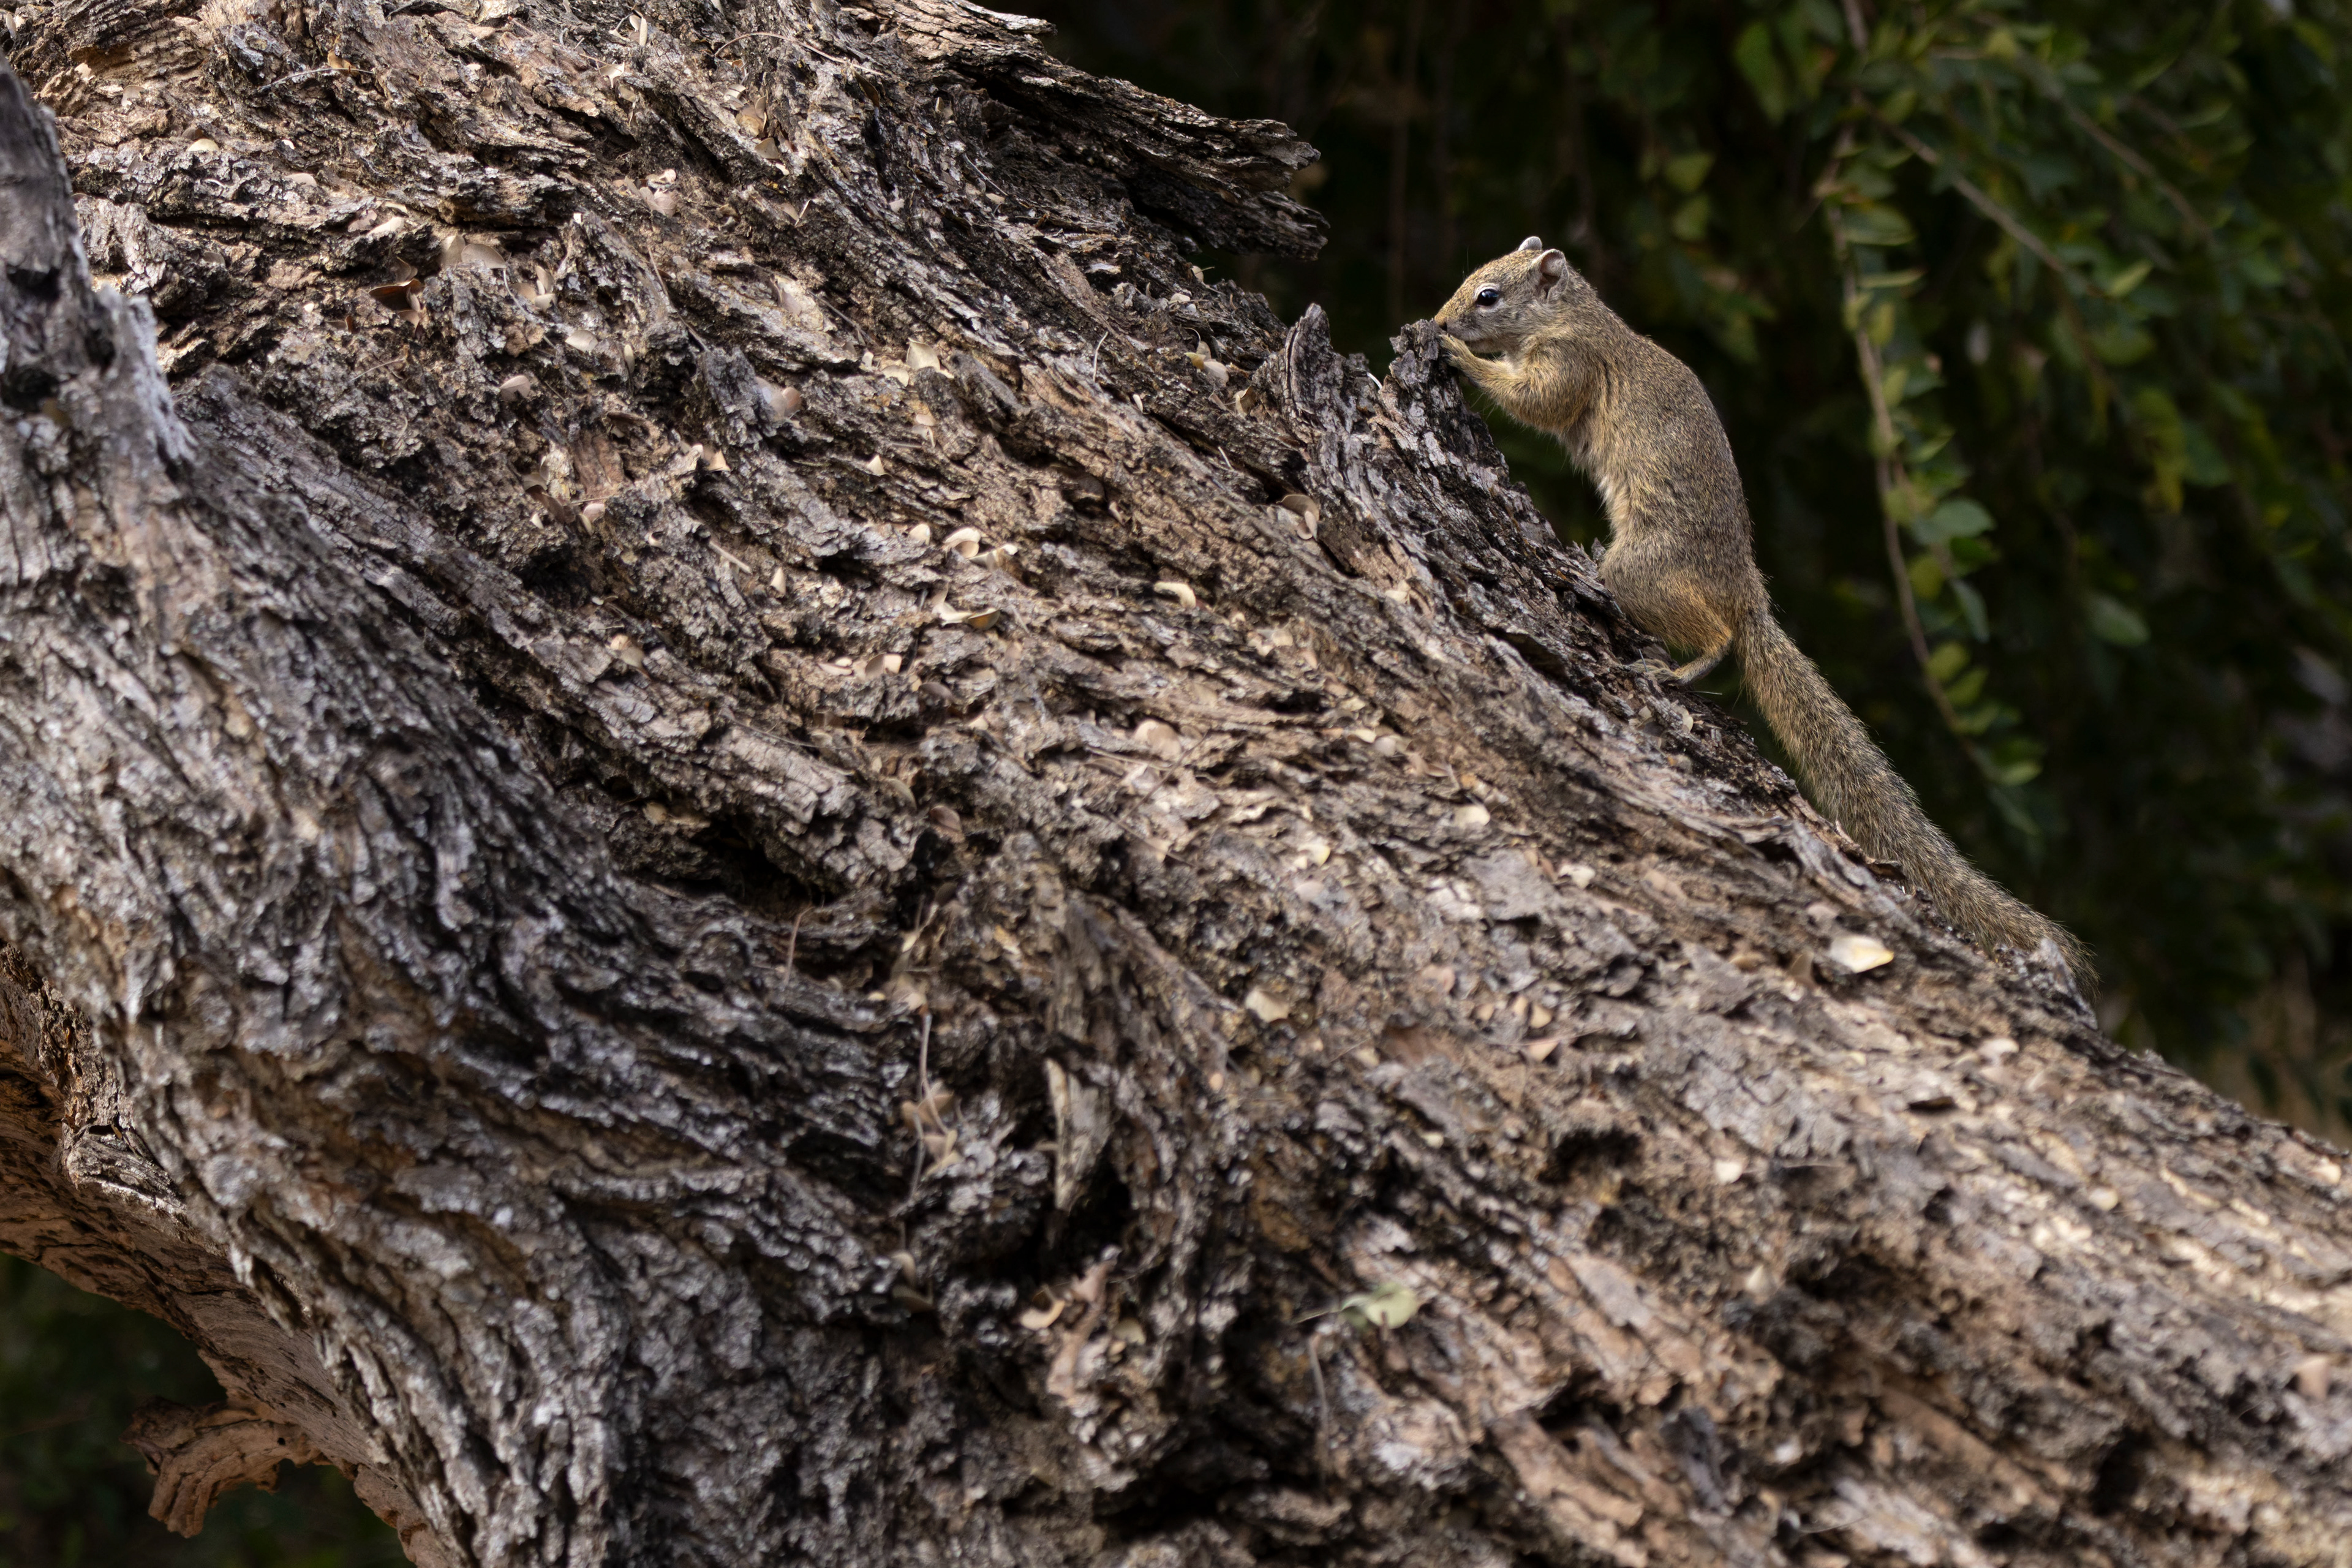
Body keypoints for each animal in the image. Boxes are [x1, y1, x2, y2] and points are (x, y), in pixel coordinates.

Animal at [1435, 237, 2088, 979]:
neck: (1574, 315)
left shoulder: (1572, 363)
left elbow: (1535, 400)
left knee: (1718, 637)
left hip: (1642, 571)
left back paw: (1674, 669)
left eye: (1488, 295)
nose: (1445, 318)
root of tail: (1746, 592)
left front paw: (1457, 356)